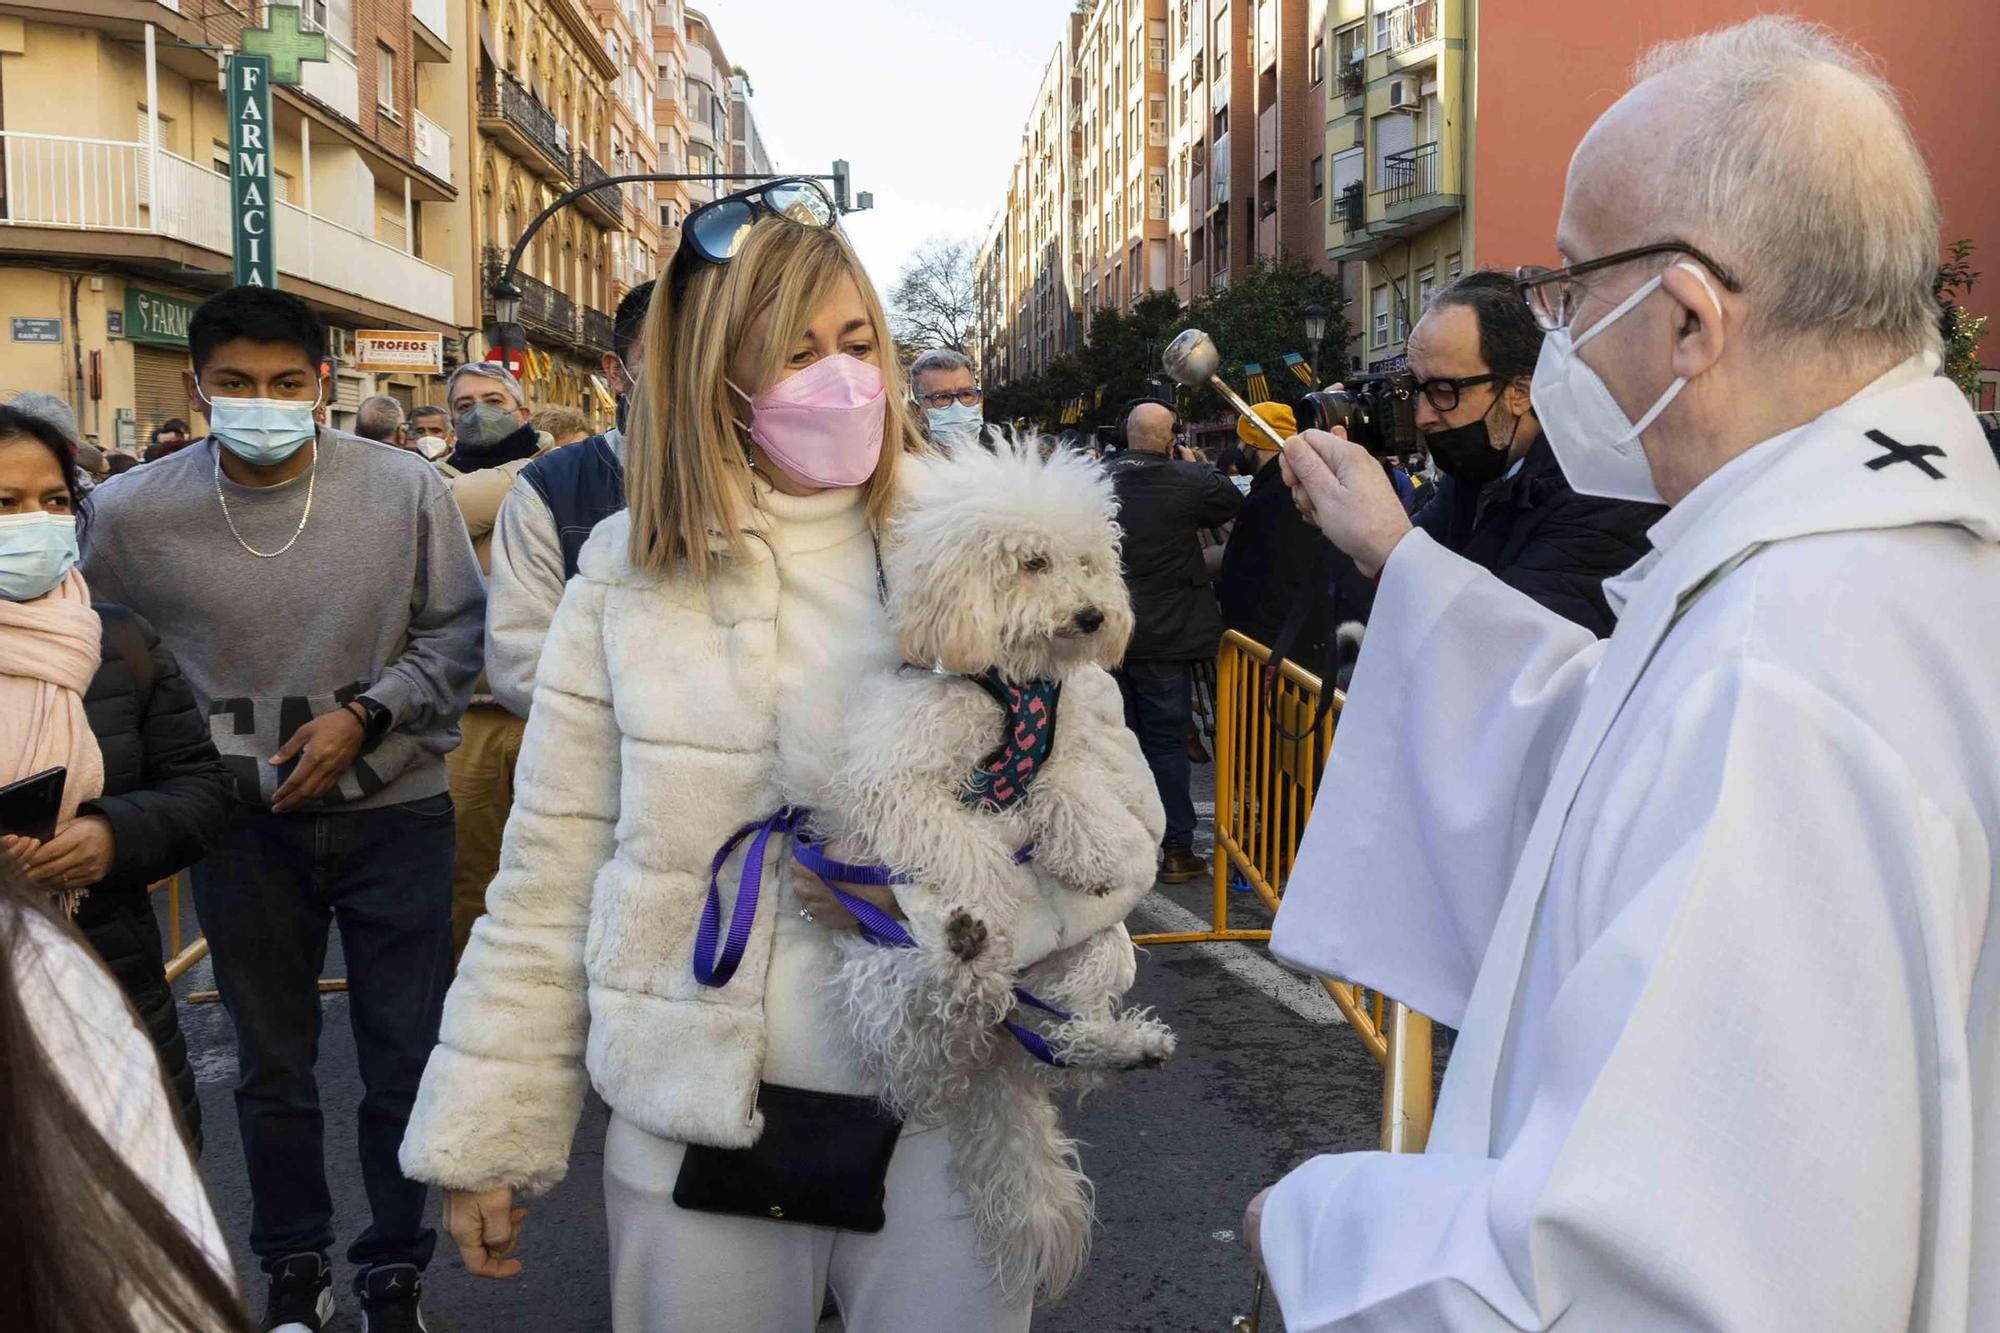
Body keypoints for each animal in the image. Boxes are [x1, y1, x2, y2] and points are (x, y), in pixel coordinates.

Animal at [820, 434, 1176, 1296]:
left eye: (1087, 560)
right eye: (1031, 562)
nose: (1093, 615)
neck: (1015, 683)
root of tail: (992, 1056)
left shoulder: (1066, 746)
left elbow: (1071, 788)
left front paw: (1095, 849)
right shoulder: (898, 778)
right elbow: (961, 837)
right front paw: (990, 887)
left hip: (1100, 955)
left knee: (1062, 1036)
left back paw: (1122, 1043)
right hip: (881, 967)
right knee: (928, 1037)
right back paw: (967, 955)